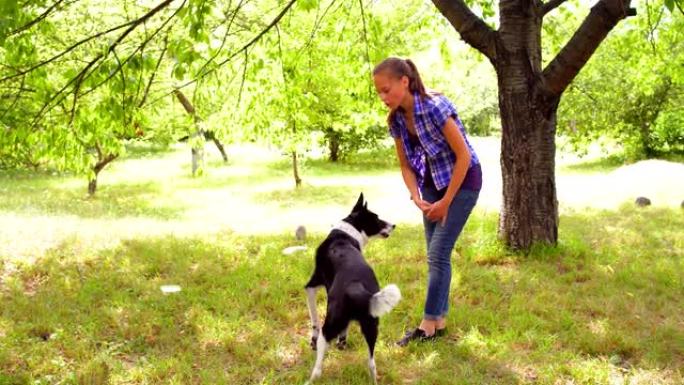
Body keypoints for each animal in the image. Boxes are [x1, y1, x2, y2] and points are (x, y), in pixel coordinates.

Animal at [304, 194, 400, 382]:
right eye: (377, 218)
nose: (393, 225)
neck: (346, 233)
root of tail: (357, 287)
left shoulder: (311, 286)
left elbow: (314, 319)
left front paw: (313, 338)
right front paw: (342, 341)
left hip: (330, 325)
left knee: (319, 364)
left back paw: (310, 379)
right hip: (371, 327)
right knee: (371, 364)